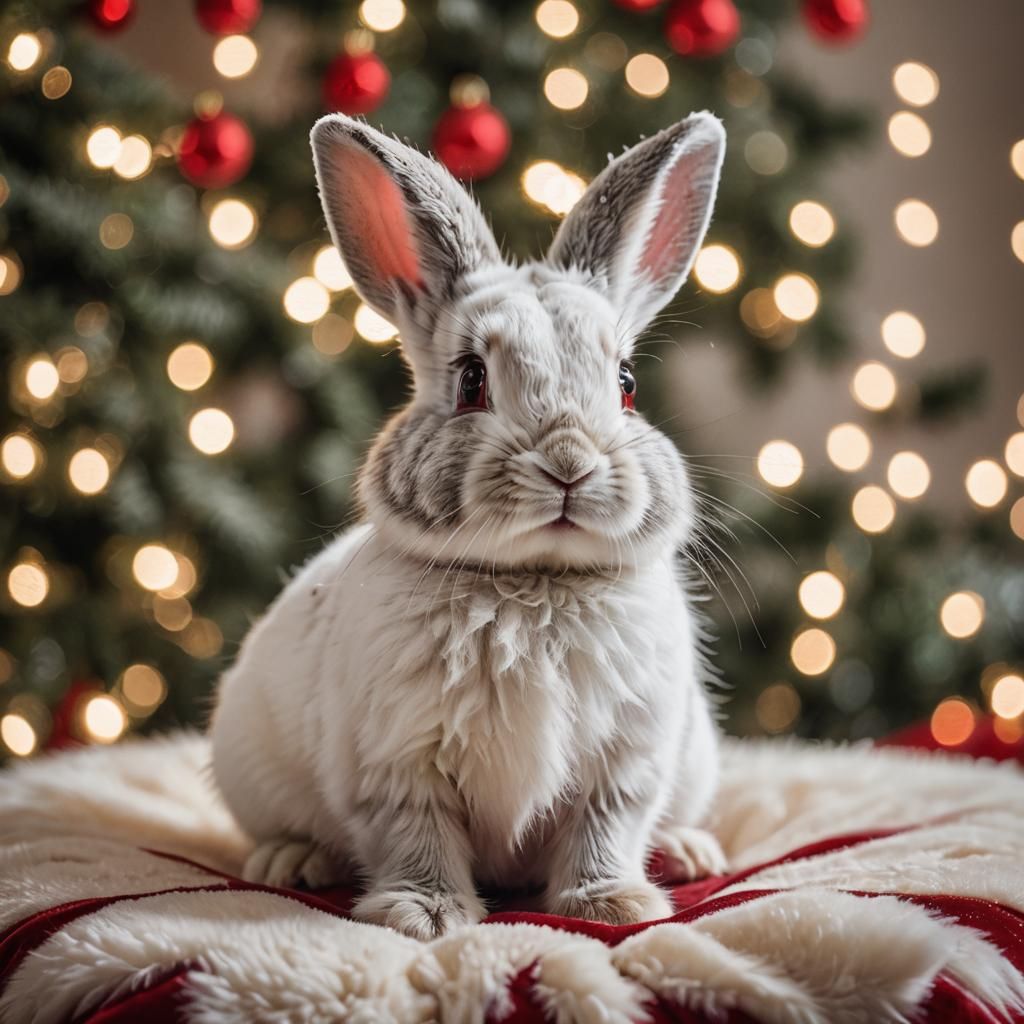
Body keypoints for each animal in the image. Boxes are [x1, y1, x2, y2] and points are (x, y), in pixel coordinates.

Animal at [210, 110, 729, 941]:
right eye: (471, 381)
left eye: (626, 384)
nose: (568, 463)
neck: (533, 583)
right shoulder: (395, 764)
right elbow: (416, 838)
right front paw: (423, 919)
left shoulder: (625, 762)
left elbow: (604, 831)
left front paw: (613, 905)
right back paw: (290, 862)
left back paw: (687, 853)